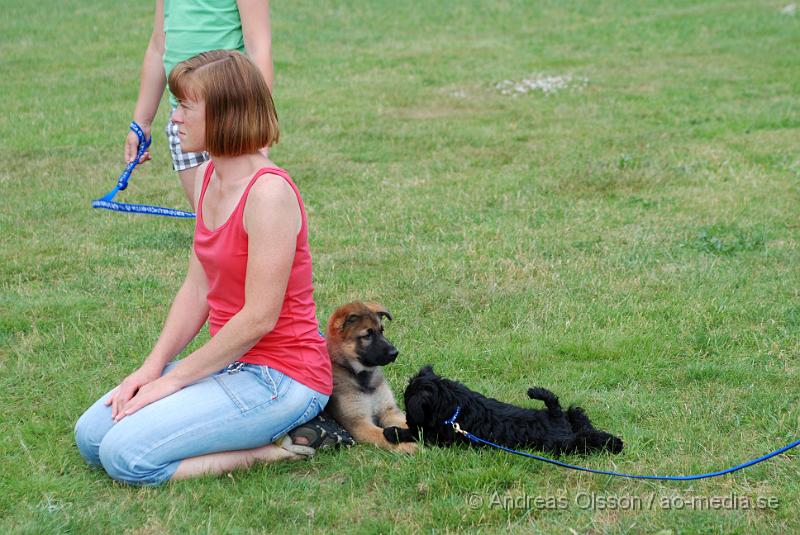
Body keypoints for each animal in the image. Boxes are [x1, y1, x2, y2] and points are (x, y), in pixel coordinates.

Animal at [324, 302, 416, 452]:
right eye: (367, 335)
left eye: (382, 331)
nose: (395, 353)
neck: (363, 378)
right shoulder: (359, 423)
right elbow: (382, 435)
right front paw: (408, 445)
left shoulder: (389, 411)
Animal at [384, 364, 620, 456]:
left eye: (408, 406)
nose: (408, 418)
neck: (454, 405)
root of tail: (554, 416)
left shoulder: (437, 437)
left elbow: (415, 433)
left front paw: (392, 432)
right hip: (568, 417)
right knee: (579, 415)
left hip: (562, 444)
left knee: (586, 438)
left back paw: (616, 443)